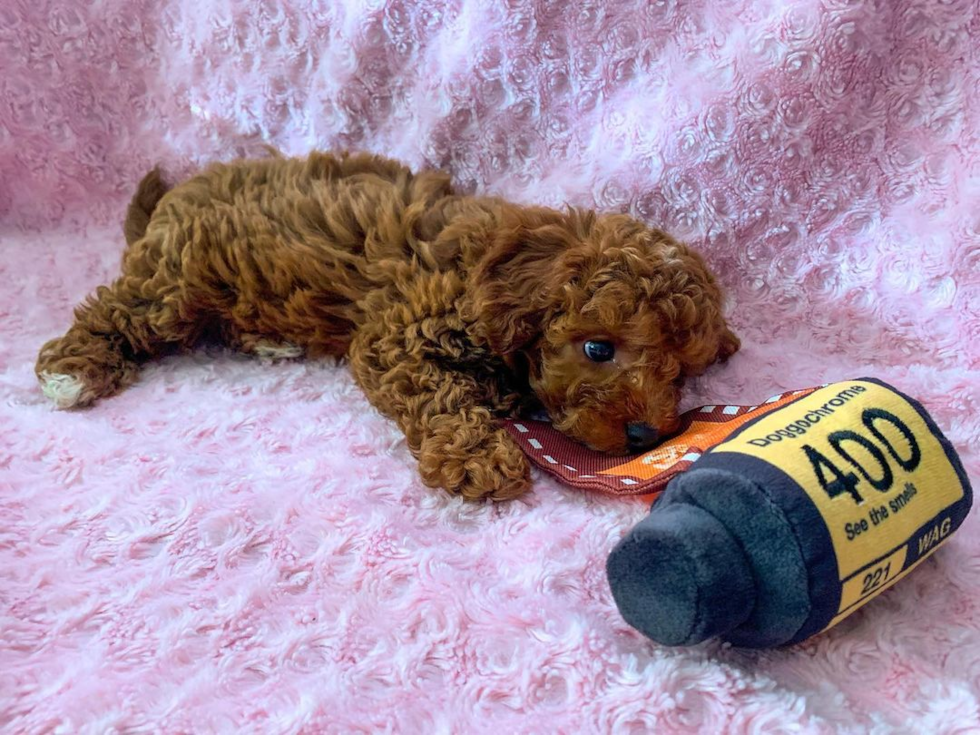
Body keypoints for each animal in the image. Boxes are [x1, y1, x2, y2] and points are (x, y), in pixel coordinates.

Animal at [40, 153, 744, 504]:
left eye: (680, 372)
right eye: (598, 347)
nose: (646, 436)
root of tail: (170, 199)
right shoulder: (400, 336)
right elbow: (445, 397)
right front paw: (478, 456)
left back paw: (271, 338)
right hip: (176, 279)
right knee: (117, 311)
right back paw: (70, 371)